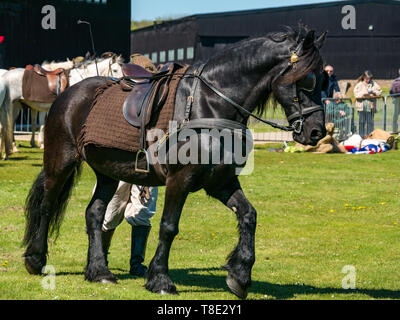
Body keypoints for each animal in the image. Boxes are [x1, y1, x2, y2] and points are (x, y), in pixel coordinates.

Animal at [23, 27, 326, 300]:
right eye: (308, 80)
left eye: (323, 79)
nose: (316, 132)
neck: (208, 104)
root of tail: (68, 93)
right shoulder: (179, 180)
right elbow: (169, 226)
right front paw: (159, 280)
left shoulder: (221, 182)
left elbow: (248, 215)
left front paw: (239, 276)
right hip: (60, 163)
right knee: (47, 206)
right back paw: (36, 260)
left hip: (107, 172)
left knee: (95, 214)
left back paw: (99, 271)